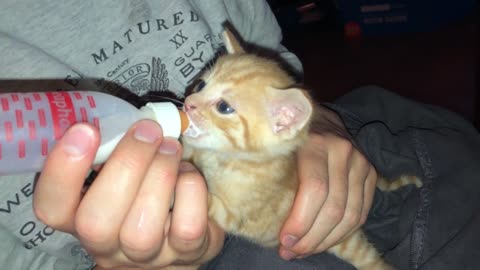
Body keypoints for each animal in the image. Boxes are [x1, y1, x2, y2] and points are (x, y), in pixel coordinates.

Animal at [182, 29, 422, 270]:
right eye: (201, 85)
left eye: (224, 107)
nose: (188, 103)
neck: (223, 159)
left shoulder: (235, 214)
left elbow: (210, 203)